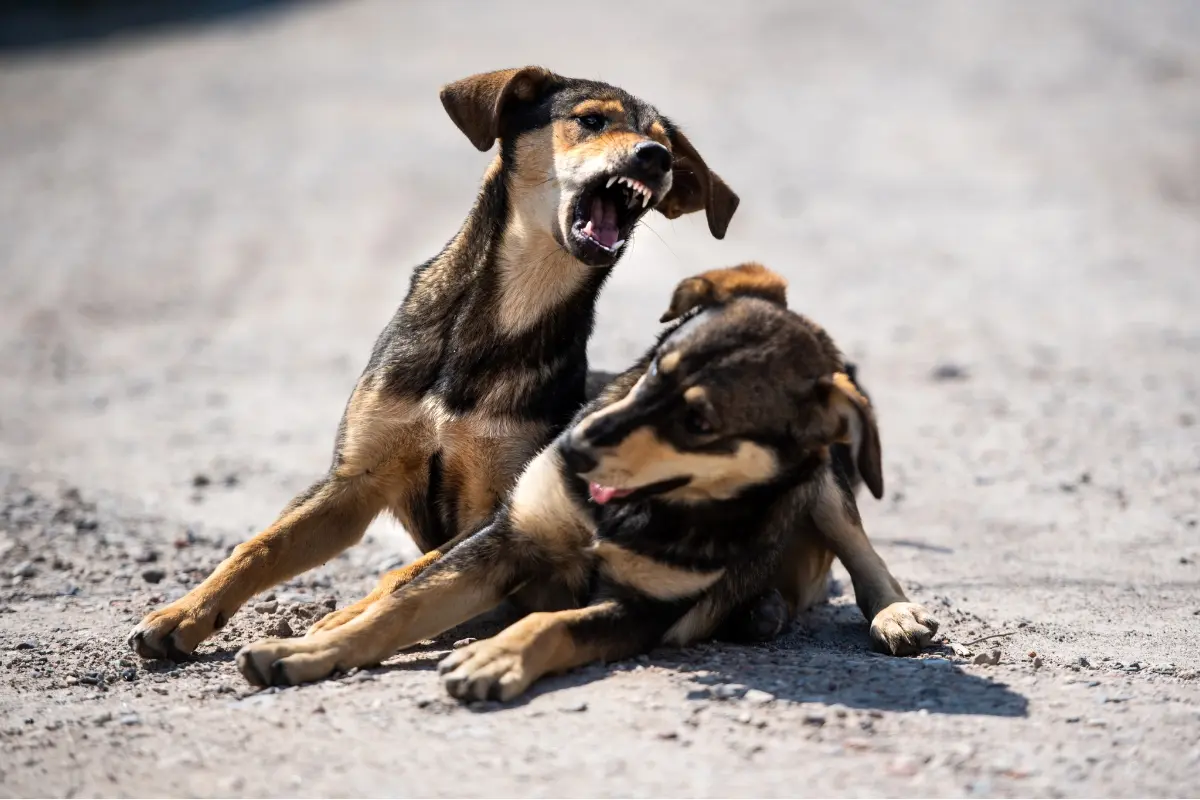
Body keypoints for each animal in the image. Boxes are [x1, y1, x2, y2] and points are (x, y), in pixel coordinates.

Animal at [126, 67, 734, 662]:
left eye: (666, 146)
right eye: (590, 121)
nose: (654, 158)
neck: (503, 318)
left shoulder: (505, 509)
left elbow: (408, 574)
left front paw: (339, 623)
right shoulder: (354, 480)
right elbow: (261, 545)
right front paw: (184, 613)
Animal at [236, 266, 936, 695]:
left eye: (700, 421)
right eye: (655, 368)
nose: (569, 447)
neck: (631, 509)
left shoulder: (642, 611)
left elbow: (553, 624)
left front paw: (497, 656)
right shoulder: (509, 537)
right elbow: (400, 609)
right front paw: (302, 653)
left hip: (825, 481)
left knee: (858, 546)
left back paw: (892, 614)